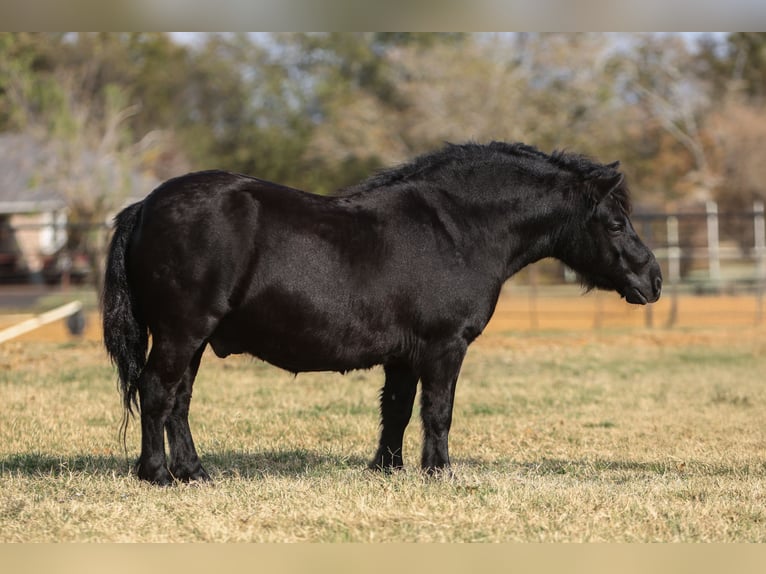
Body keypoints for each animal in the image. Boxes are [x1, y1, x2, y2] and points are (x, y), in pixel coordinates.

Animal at [102, 141, 662, 485]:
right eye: (616, 222)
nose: (653, 279)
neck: (455, 229)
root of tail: (145, 206)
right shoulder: (444, 346)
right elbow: (437, 411)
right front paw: (439, 472)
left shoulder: (404, 355)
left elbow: (396, 409)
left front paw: (387, 469)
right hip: (180, 333)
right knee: (157, 392)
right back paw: (157, 474)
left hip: (193, 339)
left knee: (178, 401)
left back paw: (193, 472)